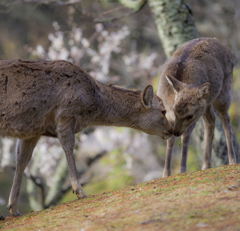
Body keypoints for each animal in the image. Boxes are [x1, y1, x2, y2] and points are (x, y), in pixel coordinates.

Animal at [0, 58, 171, 219]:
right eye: (163, 111)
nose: (172, 130)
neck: (90, 106)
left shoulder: (32, 129)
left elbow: (22, 159)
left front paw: (13, 208)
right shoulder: (66, 113)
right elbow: (68, 146)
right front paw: (80, 191)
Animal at [157, 37, 237, 177]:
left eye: (190, 115)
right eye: (175, 110)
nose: (176, 132)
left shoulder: (193, 120)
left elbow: (185, 137)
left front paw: (182, 170)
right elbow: (170, 140)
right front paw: (166, 174)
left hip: (224, 92)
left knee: (226, 119)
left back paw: (232, 160)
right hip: (205, 105)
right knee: (211, 121)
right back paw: (206, 165)